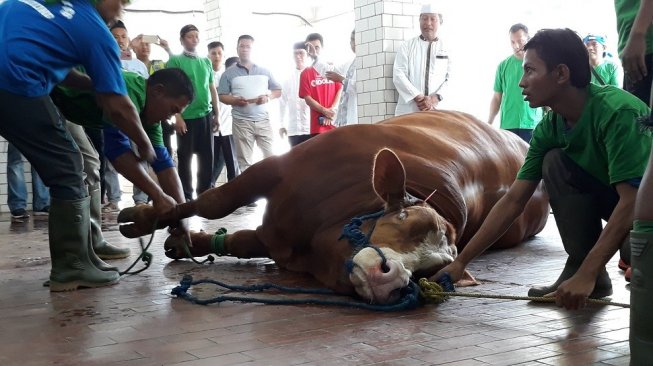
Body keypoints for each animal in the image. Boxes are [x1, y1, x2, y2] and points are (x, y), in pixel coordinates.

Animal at [118, 110, 552, 304]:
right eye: (405, 217)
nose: (393, 279)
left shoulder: (276, 237)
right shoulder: (275, 167)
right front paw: (145, 222)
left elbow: (241, 239)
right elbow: (214, 202)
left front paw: (186, 241)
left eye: (431, 270)